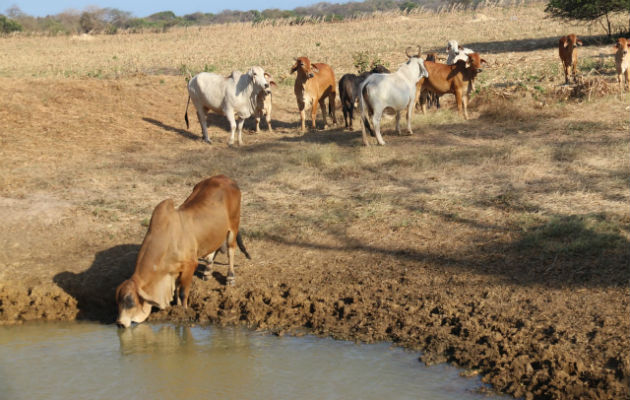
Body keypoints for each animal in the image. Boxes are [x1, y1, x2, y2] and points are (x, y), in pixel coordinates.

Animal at [116, 175, 249, 328]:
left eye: (130, 301)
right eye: (117, 301)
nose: (119, 323)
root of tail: (227, 178)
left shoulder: (190, 266)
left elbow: (183, 292)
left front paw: (184, 310)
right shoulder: (174, 271)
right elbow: (177, 290)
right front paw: (178, 307)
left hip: (233, 225)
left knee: (231, 250)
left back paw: (230, 277)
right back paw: (207, 272)